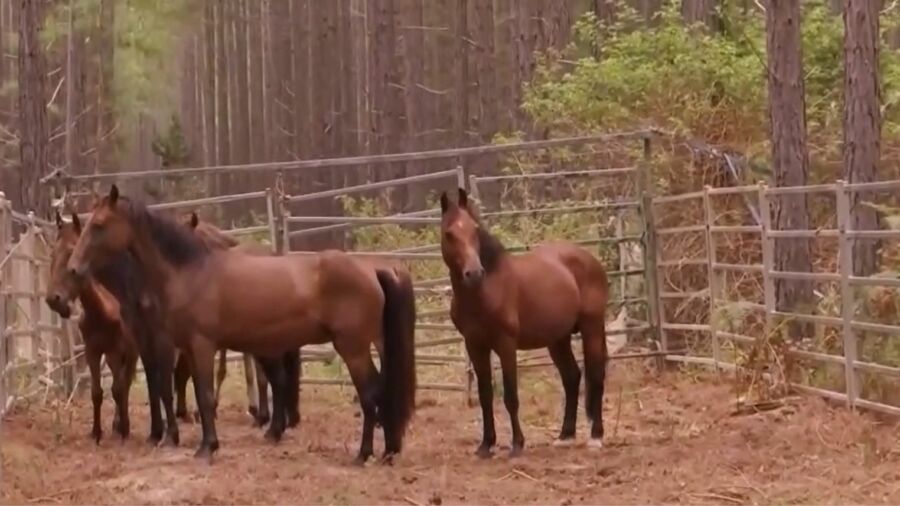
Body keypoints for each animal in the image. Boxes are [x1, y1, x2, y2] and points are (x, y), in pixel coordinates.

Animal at [46, 212, 178, 445]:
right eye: (53, 252)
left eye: (71, 250)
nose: (54, 299)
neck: (101, 310)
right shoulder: (93, 352)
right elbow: (97, 392)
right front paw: (96, 432)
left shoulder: (117, 350)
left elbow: (118, 388)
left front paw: (124, 429)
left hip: (132, 352)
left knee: (126, 383)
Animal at [66, 185, 416, 463]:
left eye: (99, 225)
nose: (73, 269)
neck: (190, 272)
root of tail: (373, 270)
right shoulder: (189, 349)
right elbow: (196, 391)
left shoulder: (202, 345)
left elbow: (206, 395)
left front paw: (207, 447)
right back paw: (387, 450)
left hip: (353, 349)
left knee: (370, 394)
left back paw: (363, 454)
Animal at [439, 188, 609, 458]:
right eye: (449, 233)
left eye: (475, 229)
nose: (474, 273)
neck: (485, 291)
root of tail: (588, 258)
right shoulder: (475, 346)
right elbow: (485, 396)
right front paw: (486, 445)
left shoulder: (506, 345)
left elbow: (510, 396)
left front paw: (517, 444)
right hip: (558, 339)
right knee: (572, 377)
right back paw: (565, 436)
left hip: (592, 327)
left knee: (596, 374)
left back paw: (595, 437)